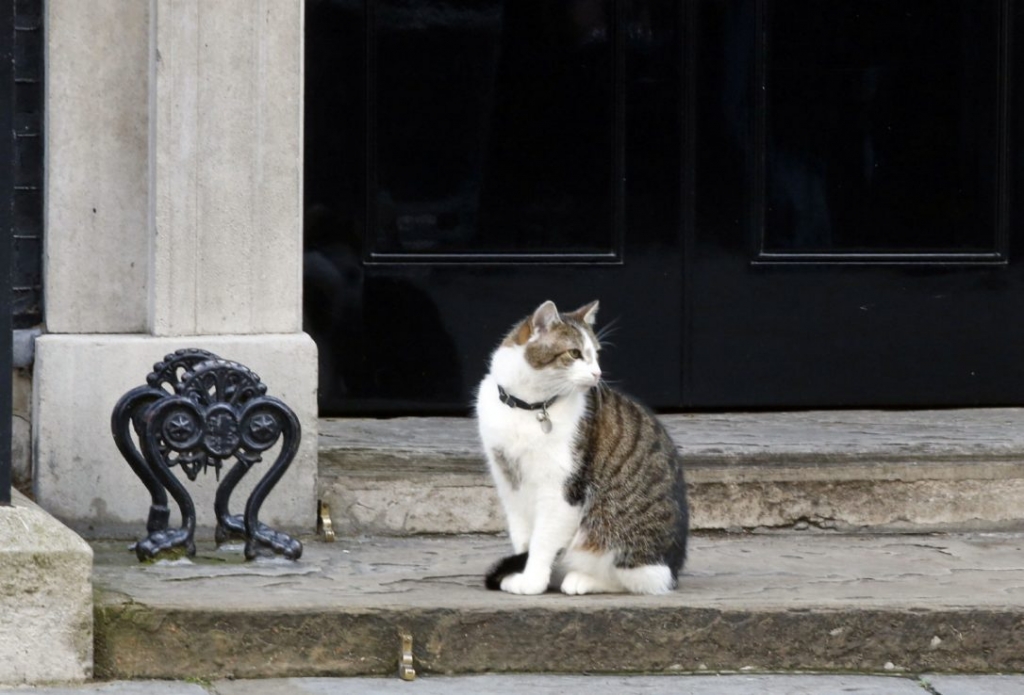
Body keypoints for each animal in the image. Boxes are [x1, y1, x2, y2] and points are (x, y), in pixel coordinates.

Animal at [477, 300, 688, 593]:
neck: (528, 407)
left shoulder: (561, 490)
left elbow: (541, 542)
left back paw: (581, 580)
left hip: (617, 536)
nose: (597, 373)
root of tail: (673, 570)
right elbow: (523, 539)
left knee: (635, 579)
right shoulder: (508, 483)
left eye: (595, 354)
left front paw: (531, 582)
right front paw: (519, 571)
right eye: (575, 353)